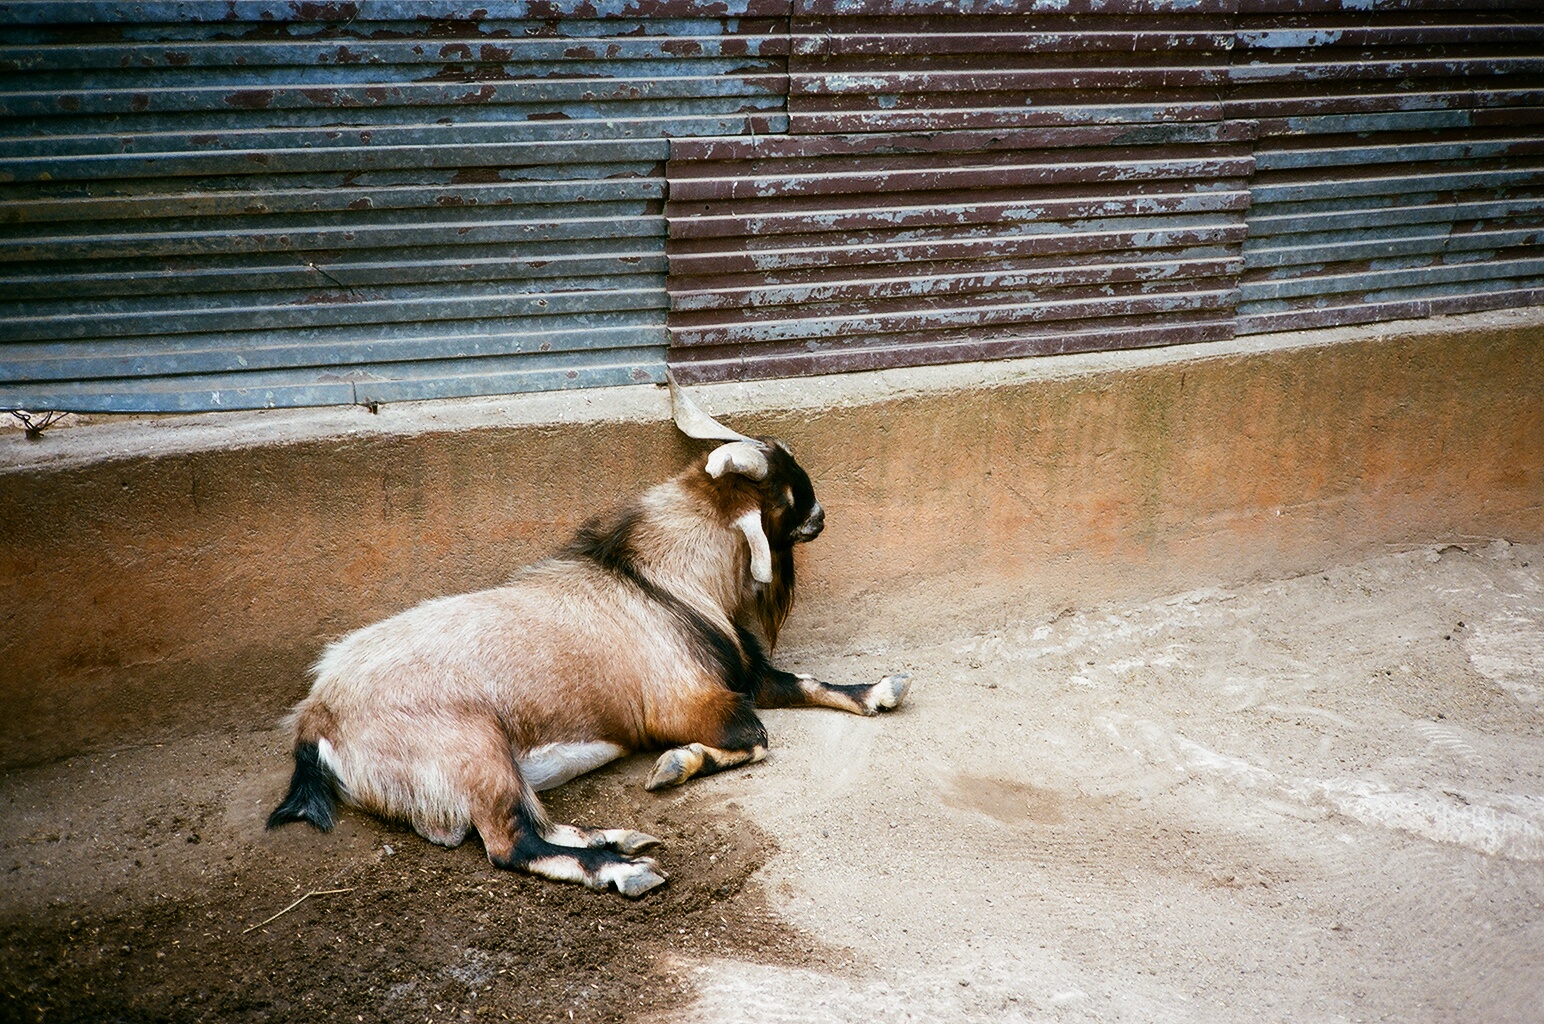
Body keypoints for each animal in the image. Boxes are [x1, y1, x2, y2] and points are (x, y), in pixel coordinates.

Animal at [267, 377, 909, 897]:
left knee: (538, 822)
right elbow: (755, 737)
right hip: (477, 753)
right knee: (512, 842)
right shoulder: (690, 705)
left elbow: (802, 680)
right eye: (786, 496)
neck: (655, 580)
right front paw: (675, 765)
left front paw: (880, 688)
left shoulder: (745, 674)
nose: (821, 517)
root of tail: (317, 718)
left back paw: (620, 837)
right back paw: (625, 869)